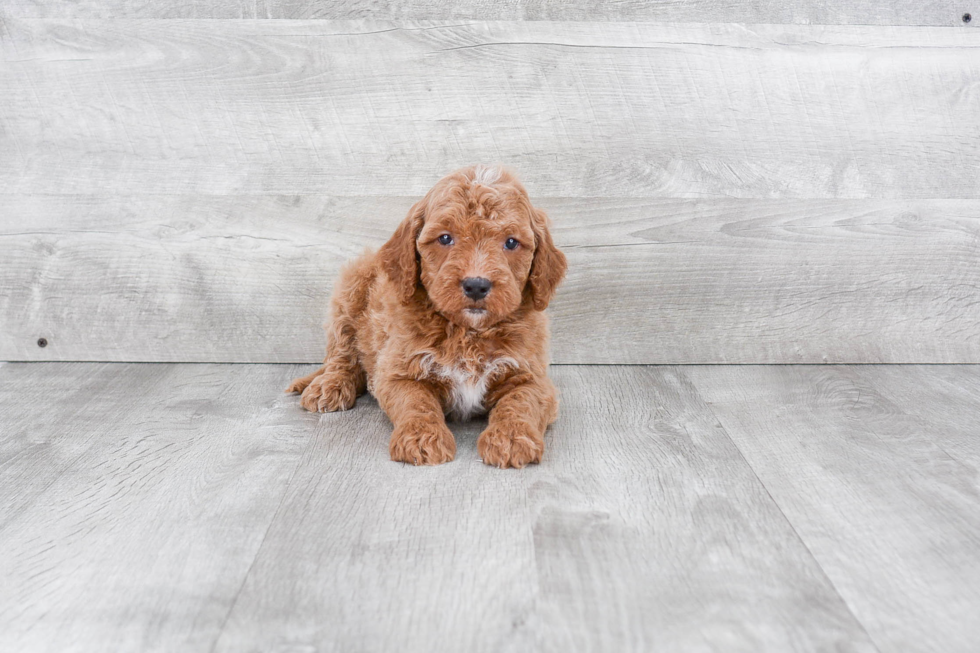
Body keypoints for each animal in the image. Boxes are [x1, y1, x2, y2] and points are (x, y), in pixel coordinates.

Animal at [284, 166, 568, 466]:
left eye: (511, 242)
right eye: (445, 238)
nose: (476, 285)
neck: (468, 331)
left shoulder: (532, 376)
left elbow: (521, 402)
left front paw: (510, 438)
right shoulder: (398, 372)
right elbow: (416, 401)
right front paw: (421, 437)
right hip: (350, 289)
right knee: (342, 354)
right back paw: (330, 385)